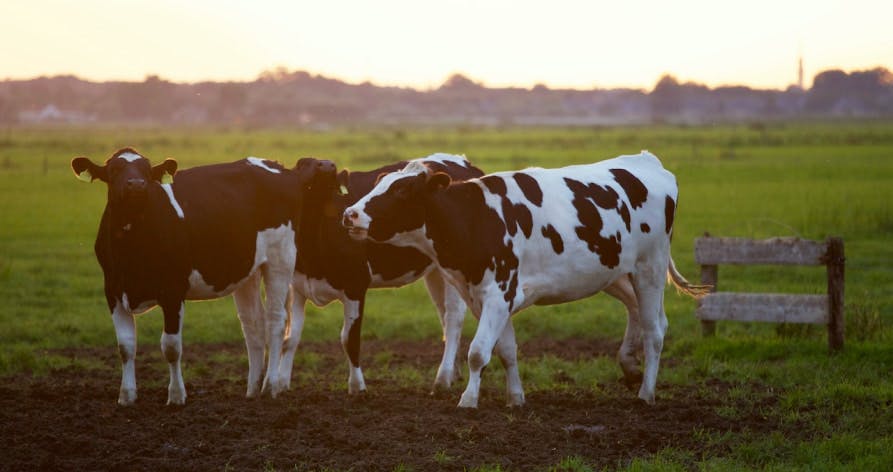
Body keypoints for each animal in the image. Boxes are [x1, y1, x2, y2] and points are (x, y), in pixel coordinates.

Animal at [71, 147, 332, 405]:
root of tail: (279, 167)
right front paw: (126, 396)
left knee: (275, 321)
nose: (136, 184)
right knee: (253, 325)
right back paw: (252, 389)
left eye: (146, 170)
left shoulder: (173, 291)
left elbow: (171, 346)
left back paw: (270, 386)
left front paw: (176, 396)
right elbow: (125, 345)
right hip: (247, 270)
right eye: (114, 170)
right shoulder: (113, 290)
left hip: (280, 259)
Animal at [277, 154, 484, 394]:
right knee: (443, 316)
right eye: (302, 163)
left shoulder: (356, 285)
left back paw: (442, 378)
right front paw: (280, 384)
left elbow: (349, 339)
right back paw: (453, 372)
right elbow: (290, 338)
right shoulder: (297, 286)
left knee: (453, 319)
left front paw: (357, 387)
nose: (328, 164)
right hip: (436, 272)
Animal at [342, 151, 709, 408]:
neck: (476, 218)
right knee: (641, 313)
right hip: (614, 271)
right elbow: (505, 350)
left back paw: (646, 392)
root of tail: (647, 161)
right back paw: (630, 367)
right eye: (379, 183)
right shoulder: (487, 297)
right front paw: (515, 397)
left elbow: (478, 352)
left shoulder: (498, 293)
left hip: (650, 267)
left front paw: (468, 400)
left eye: (402, 190)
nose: (350, 214)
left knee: (655, 330)